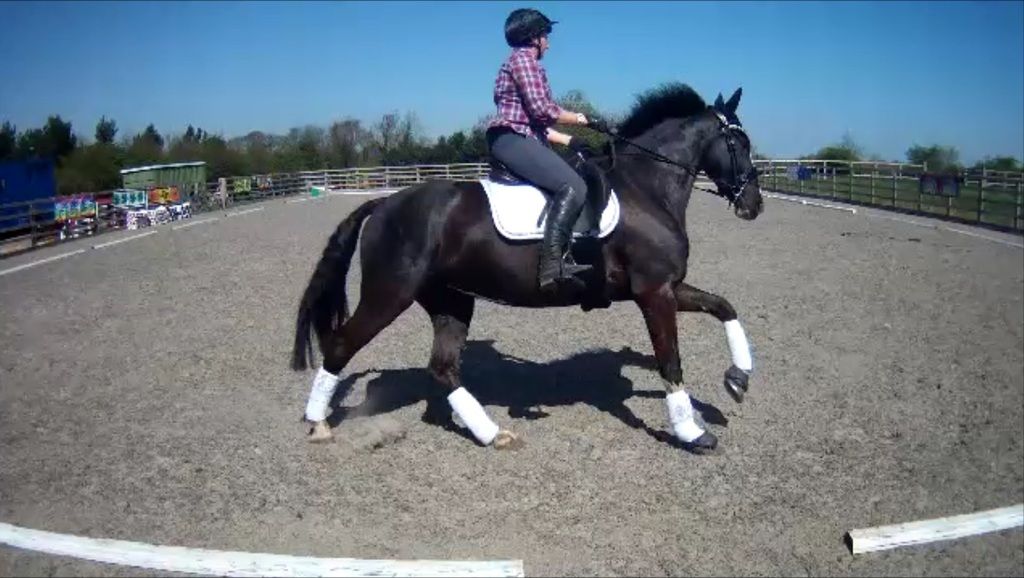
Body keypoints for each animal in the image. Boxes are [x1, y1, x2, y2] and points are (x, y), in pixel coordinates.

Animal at [291, 83, 764, 453]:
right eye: (740, 144)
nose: (753, 205)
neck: (645, 189)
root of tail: (384, 204)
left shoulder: (667, 287)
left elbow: (725, 306)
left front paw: (737, 380)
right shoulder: (654, 293)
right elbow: (671, 361)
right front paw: (692, 433)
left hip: (450, 300)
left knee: (443, 367)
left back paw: (493, 434)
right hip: (389, 294)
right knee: (341, 345)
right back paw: (318, 424)